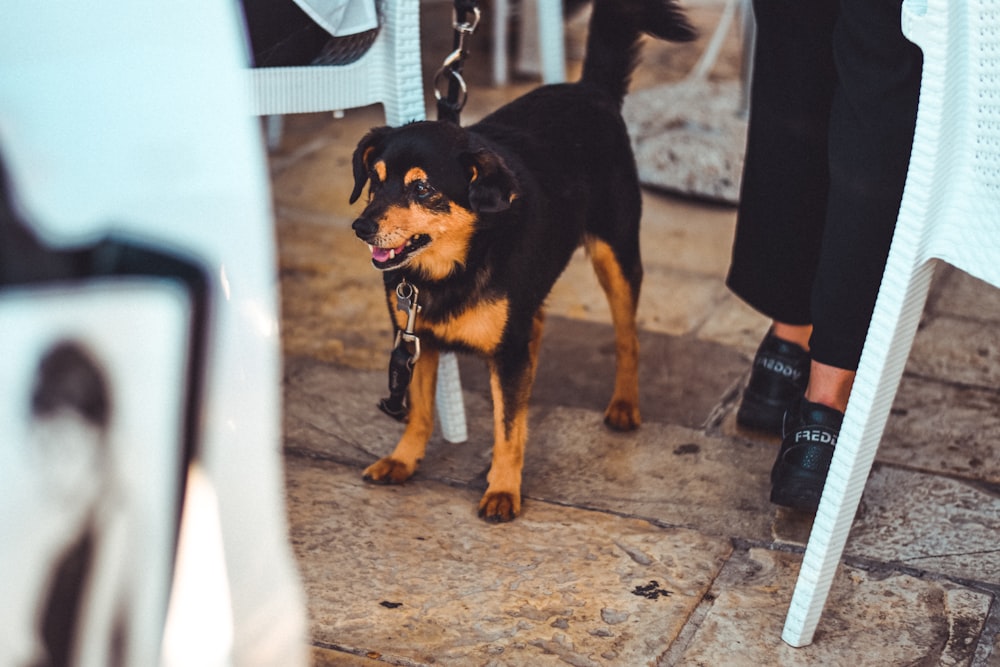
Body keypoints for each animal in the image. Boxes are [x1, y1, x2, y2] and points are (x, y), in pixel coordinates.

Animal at [352, 0, 696, 520]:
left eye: (423, 188)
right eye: (374, 180)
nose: (361, 226)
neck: (454, 265)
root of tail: (589, 88)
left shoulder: (508, 355)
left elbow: (508, 427)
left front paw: (502, 489)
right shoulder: (415, 340)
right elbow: (421, 411)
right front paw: (403, 460)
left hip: (616, 256)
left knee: (627, 338)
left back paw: (624, 405)